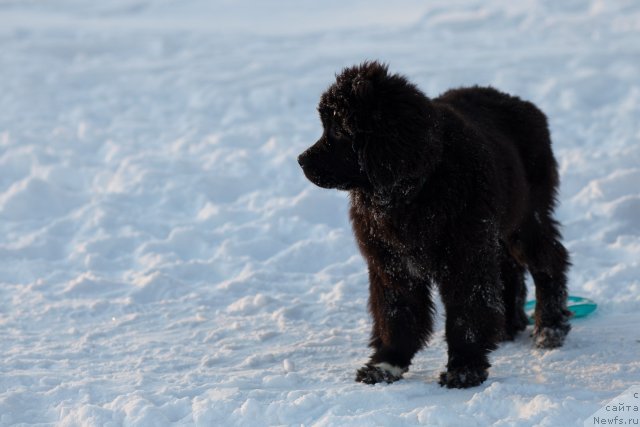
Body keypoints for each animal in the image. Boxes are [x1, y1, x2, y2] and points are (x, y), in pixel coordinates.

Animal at [298, 61, 572, 390]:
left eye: (339, 130)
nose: (301, 160)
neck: (412, 193)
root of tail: (526, 106)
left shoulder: (465, 261)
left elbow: (466, 315)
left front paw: (464, 369)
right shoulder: (392, 264)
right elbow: (395, 314)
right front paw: (386, 365)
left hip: (526, 218)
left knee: (549, 259)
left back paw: (550, 327)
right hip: (499, 227)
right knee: (509, 268)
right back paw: (508, 325)